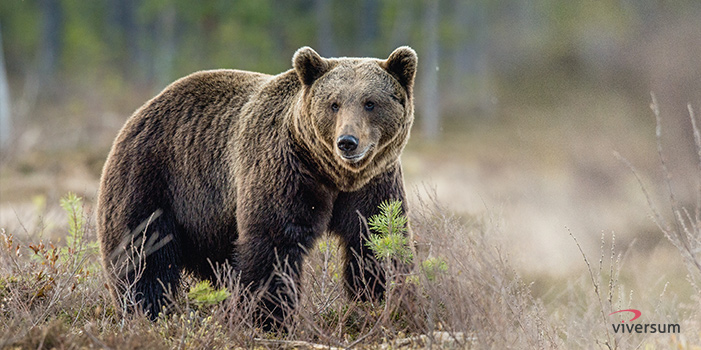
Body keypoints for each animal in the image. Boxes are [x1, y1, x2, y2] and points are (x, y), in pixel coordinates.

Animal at [97, 45, 416, 326]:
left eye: (370, 102)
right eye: (333, 103)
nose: (347, 142)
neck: (332, 174)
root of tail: (139, 112)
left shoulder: (374, 183)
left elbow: (375, 238)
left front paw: (383, 301)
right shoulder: (285, 171)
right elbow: (273, 242)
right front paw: (269, 319)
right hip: (153, 179)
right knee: (142, 253)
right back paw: (146, 311)